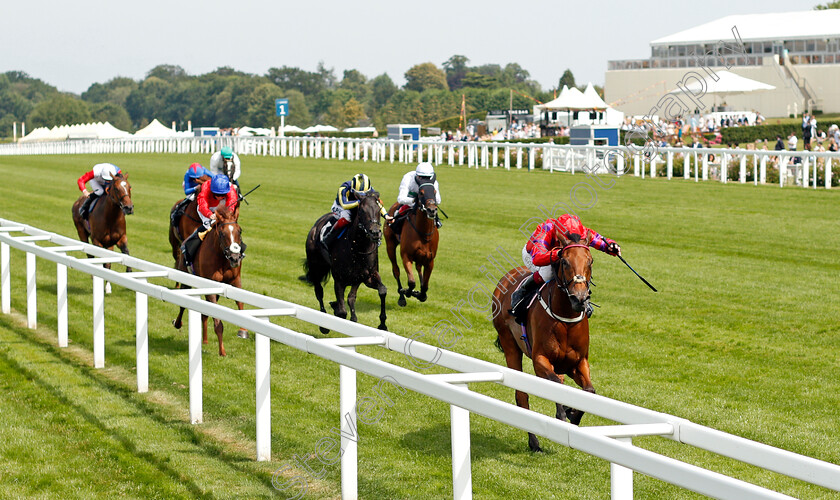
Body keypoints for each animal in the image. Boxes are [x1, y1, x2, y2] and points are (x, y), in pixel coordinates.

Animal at [172, 203, 248, 356]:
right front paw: (222, 351)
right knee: (183, 306)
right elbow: (218, 321)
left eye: (240, 231)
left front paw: (243, 331)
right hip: (185, 278)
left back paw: (205, 340)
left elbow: (240, 303)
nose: (235, 258)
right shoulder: (210, 285)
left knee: (205, 314)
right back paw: (178, 323)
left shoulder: (236, 281)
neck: (222, 258)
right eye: (222, 233)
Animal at [300, 189, 388, 334]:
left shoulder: (367, 276)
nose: (375, 233)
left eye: (378, 209)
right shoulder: (339, 279)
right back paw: (323, 325)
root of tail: (315, 226)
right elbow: (342, 312)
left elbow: (382, 290)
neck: (357, 247)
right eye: (362, 210)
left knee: (351, 298)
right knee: (319, 291)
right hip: (316, 267)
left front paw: (382, 325)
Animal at [492, 234, 596, 454]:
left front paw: (572, 413)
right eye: (564, 262)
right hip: (509, 345)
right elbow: (555, 384)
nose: (580, 299)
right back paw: (534, 443)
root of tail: (505, 278)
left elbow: (589, 391)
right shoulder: (540, 359)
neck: (566, 319)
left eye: (590, 262)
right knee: (522, 395)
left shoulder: (578, 362)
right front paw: (563, 414)